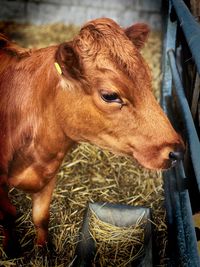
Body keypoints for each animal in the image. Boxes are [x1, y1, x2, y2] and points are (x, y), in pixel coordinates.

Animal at [0, 18, 184, 253]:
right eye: (110, 95)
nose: (176, 151)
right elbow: (9, 216)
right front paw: (12, 250)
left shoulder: (49, 175)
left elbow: (41, 217)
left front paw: (44, 250)